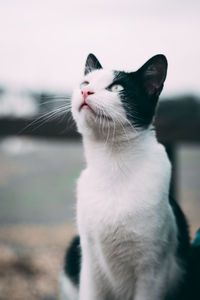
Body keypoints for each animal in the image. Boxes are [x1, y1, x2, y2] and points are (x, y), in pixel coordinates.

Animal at [60, 54, 195, 300]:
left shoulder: (153, 271)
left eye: (117, 88)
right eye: (85, 83)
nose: (86, 92)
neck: (112, 165)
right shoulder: (90, 264)